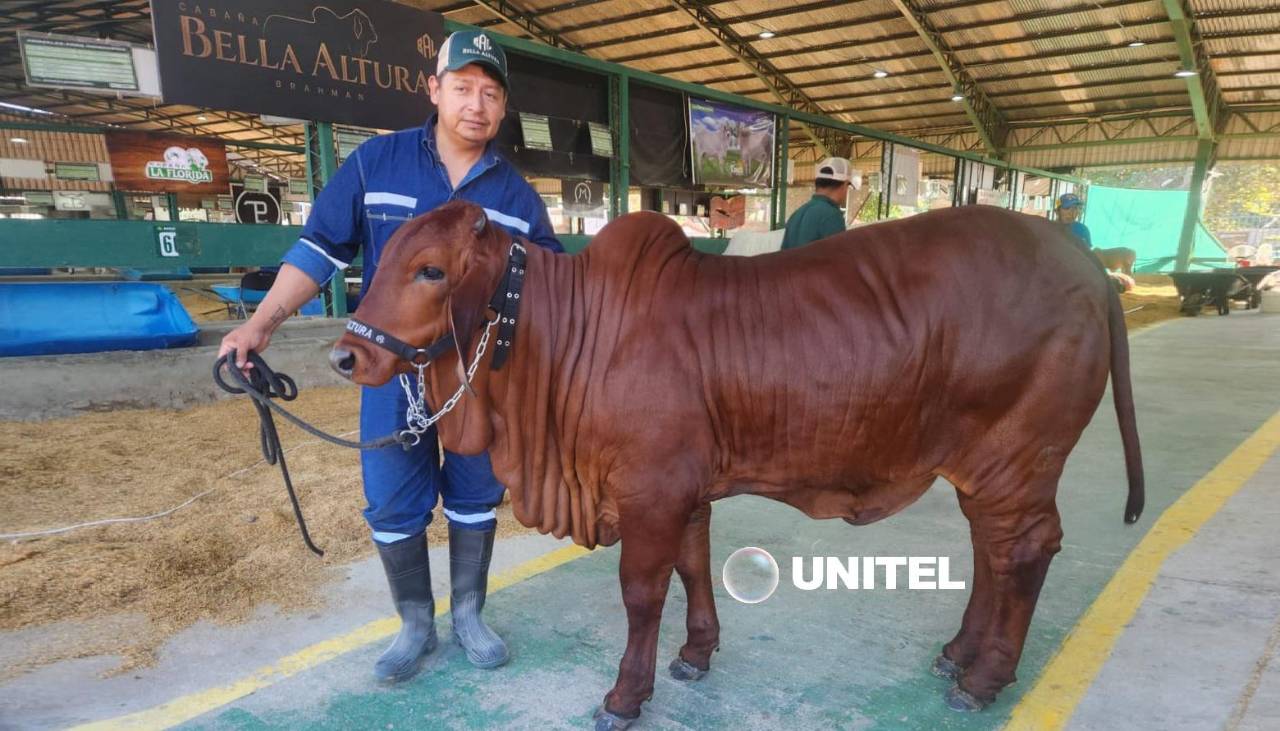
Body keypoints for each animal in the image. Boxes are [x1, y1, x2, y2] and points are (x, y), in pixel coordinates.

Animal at [330, 201, 1144, 729]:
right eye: (380, 258)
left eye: (430, 270)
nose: (346, 356)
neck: (563, 336)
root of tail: (1085, 263)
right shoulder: (685, 490)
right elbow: (694, 564)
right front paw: (696, 653)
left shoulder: (651, 491)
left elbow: (642, 593)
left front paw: (625, 696)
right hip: (984, 470)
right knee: (990, 552)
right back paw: (958, 654)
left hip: (1019, 460)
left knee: (1025, 553)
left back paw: (985, 677)